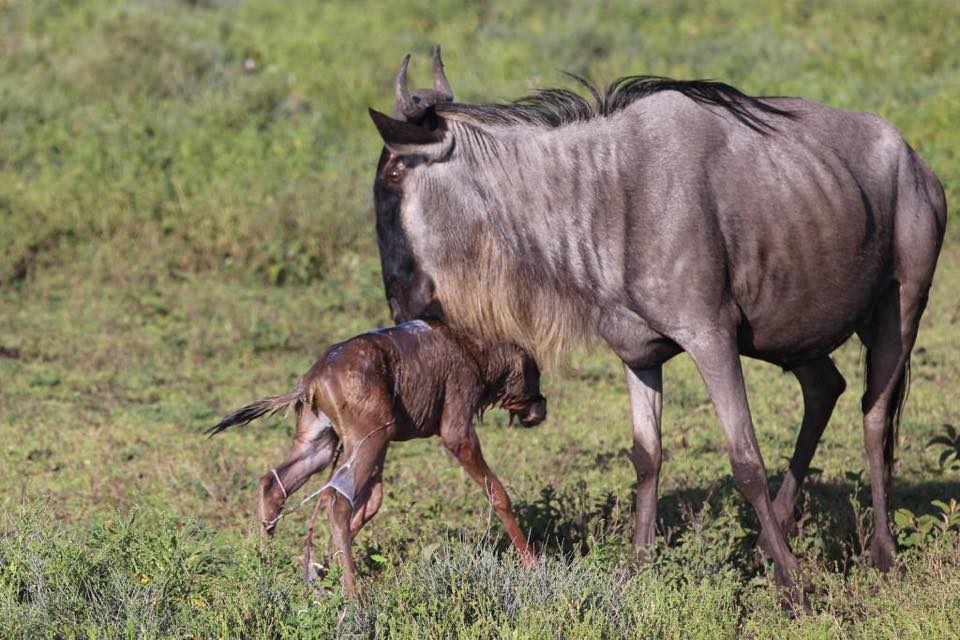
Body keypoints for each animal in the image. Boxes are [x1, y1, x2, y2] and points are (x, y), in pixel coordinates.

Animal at [206, 320, 544, 596]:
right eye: (535, 374)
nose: (541, 408)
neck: (475, 349)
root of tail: (311, 380)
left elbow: (370, 504)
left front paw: (324, 568)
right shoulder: (457, 431)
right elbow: (497, 493)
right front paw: (534, 565)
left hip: (321, 444)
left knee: (274, 485)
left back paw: (267, 566)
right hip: (372, 436)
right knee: (336, 501)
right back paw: (354, 596)